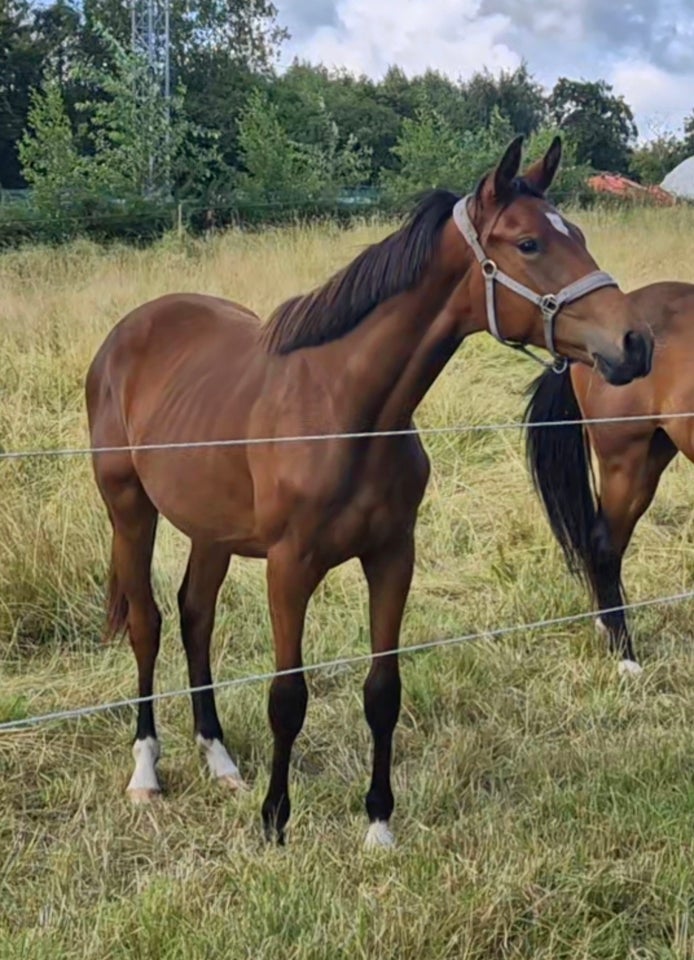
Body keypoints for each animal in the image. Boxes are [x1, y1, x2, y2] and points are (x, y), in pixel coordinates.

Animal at [85, 137, 652, 848]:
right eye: (528, 244)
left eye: (576, 234)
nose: (635, 343)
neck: (346, 408)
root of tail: (125, 335)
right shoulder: (288, 568)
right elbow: (287, 696)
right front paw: (275, 822)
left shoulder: (392, 556)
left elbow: (383, 689)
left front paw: (379, 822)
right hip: (129, 509)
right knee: (148, 623)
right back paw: (146, 773)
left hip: (210, 529)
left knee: (196, 617)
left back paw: (220, 761)